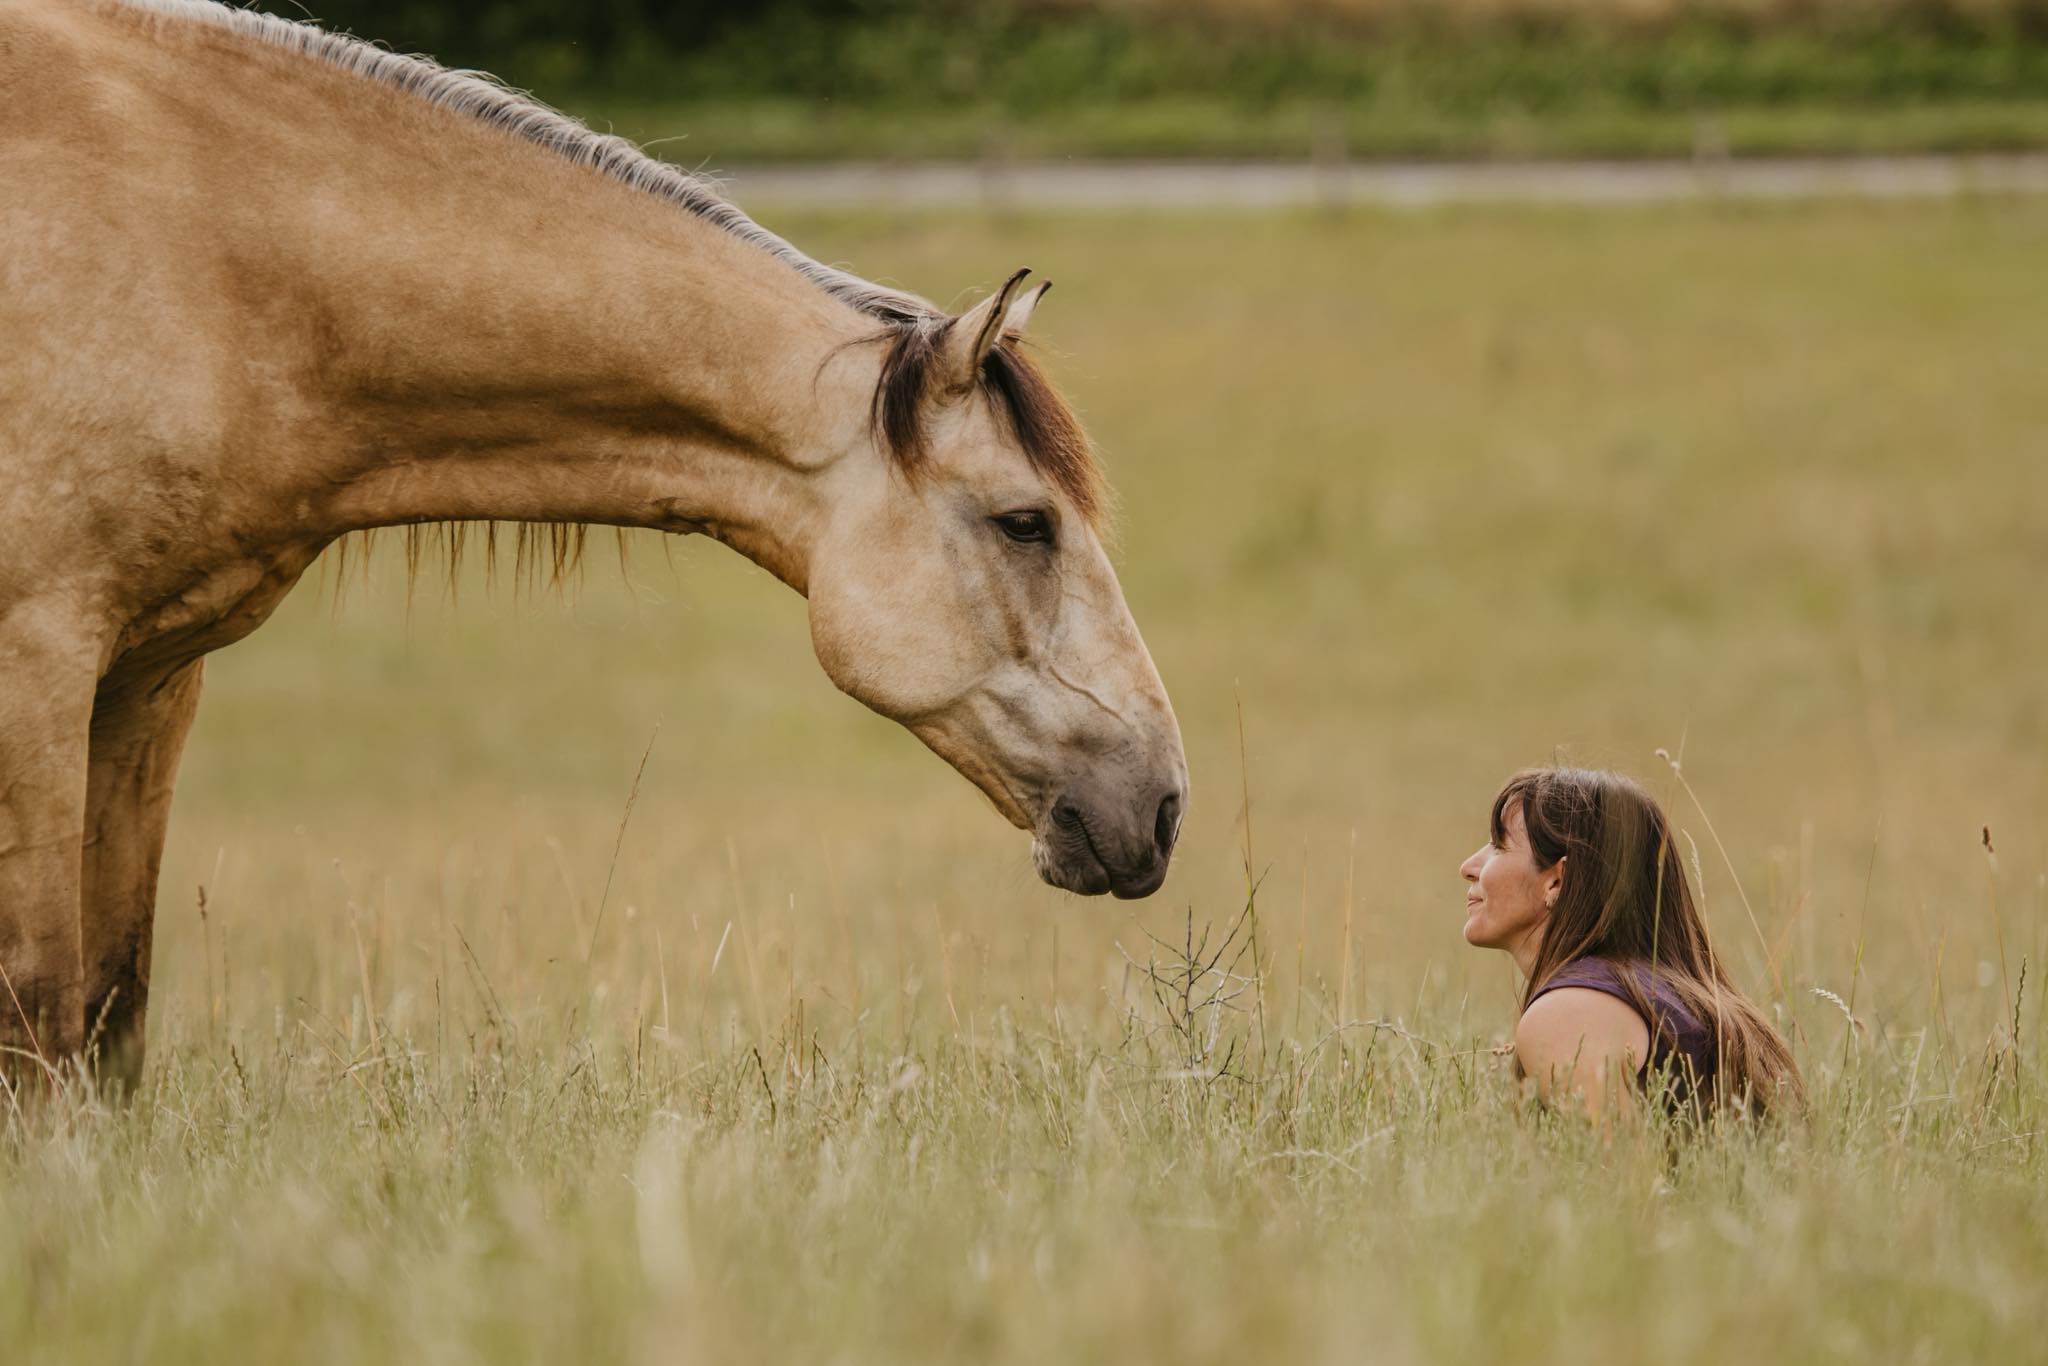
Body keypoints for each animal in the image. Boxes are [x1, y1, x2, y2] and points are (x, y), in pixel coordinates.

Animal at [0, 0, 1187, 1088]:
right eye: (1025, 521)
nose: (1165, 803)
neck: (214, 255)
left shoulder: (148, 680)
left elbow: (109, 1013)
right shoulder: (39, 667)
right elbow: (40, 1010)